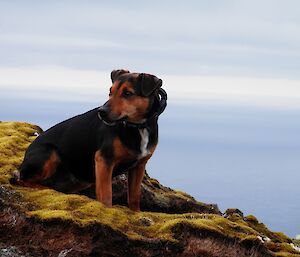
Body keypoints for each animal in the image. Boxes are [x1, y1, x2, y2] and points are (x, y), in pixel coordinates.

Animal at [10, 69, 166, 210]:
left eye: (128, 93)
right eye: (110, 92)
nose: (101, 112)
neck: (138, 127)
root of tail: (25, 159)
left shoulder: (139, 165)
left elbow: (134, 197)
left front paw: (136, 213)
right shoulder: (104, 160)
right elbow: (106, 195)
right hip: (49, 154)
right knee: (20, 179)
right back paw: (42, 188)